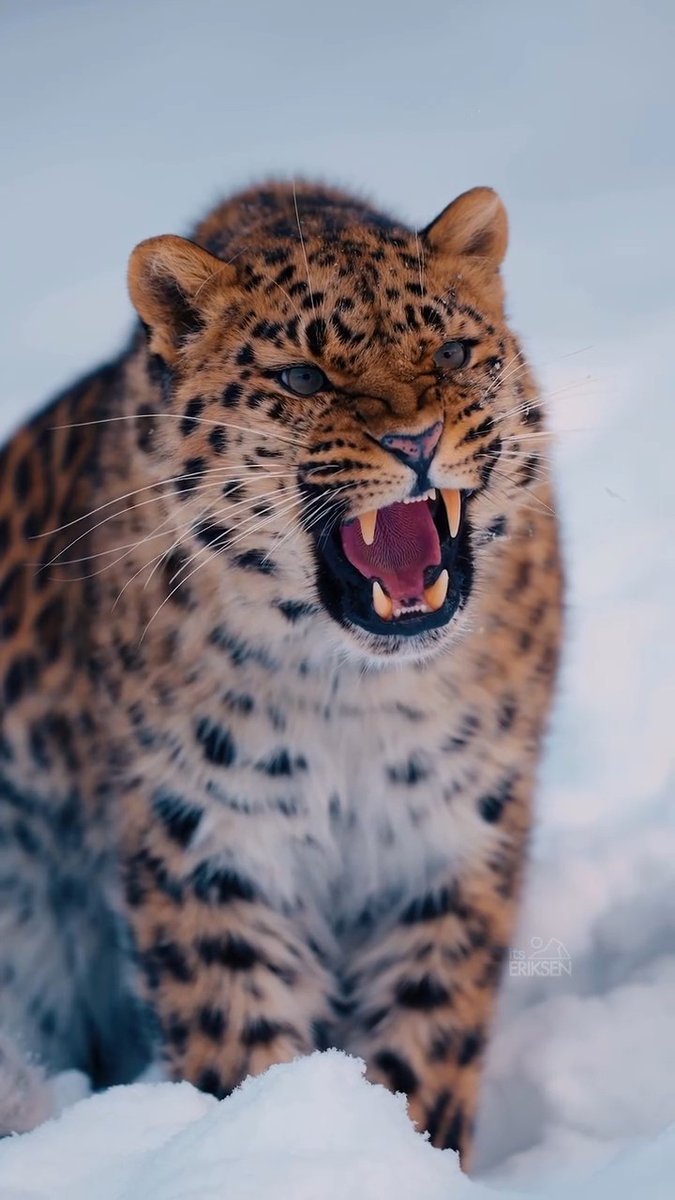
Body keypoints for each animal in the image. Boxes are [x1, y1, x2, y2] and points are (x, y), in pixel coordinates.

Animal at [0, 180, 562, 1164]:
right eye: (303, 378)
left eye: (452, 353)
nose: (417, 440)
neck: (353, 691)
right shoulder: (207, 841)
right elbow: (241, 1038)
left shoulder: (451, 836)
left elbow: (427, 1035)